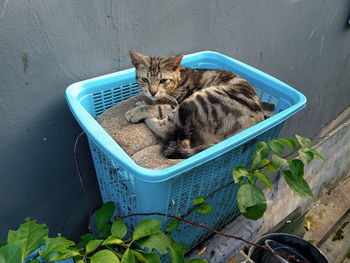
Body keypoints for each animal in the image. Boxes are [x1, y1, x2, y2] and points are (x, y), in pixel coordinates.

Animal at [124, 51, 272, 159]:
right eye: (145, 79)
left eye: (163, 80)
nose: (152, 92)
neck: (177, 79)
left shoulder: (175, 104)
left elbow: (156, 107)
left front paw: (138, 109)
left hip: (197, 101)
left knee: (166, 129)